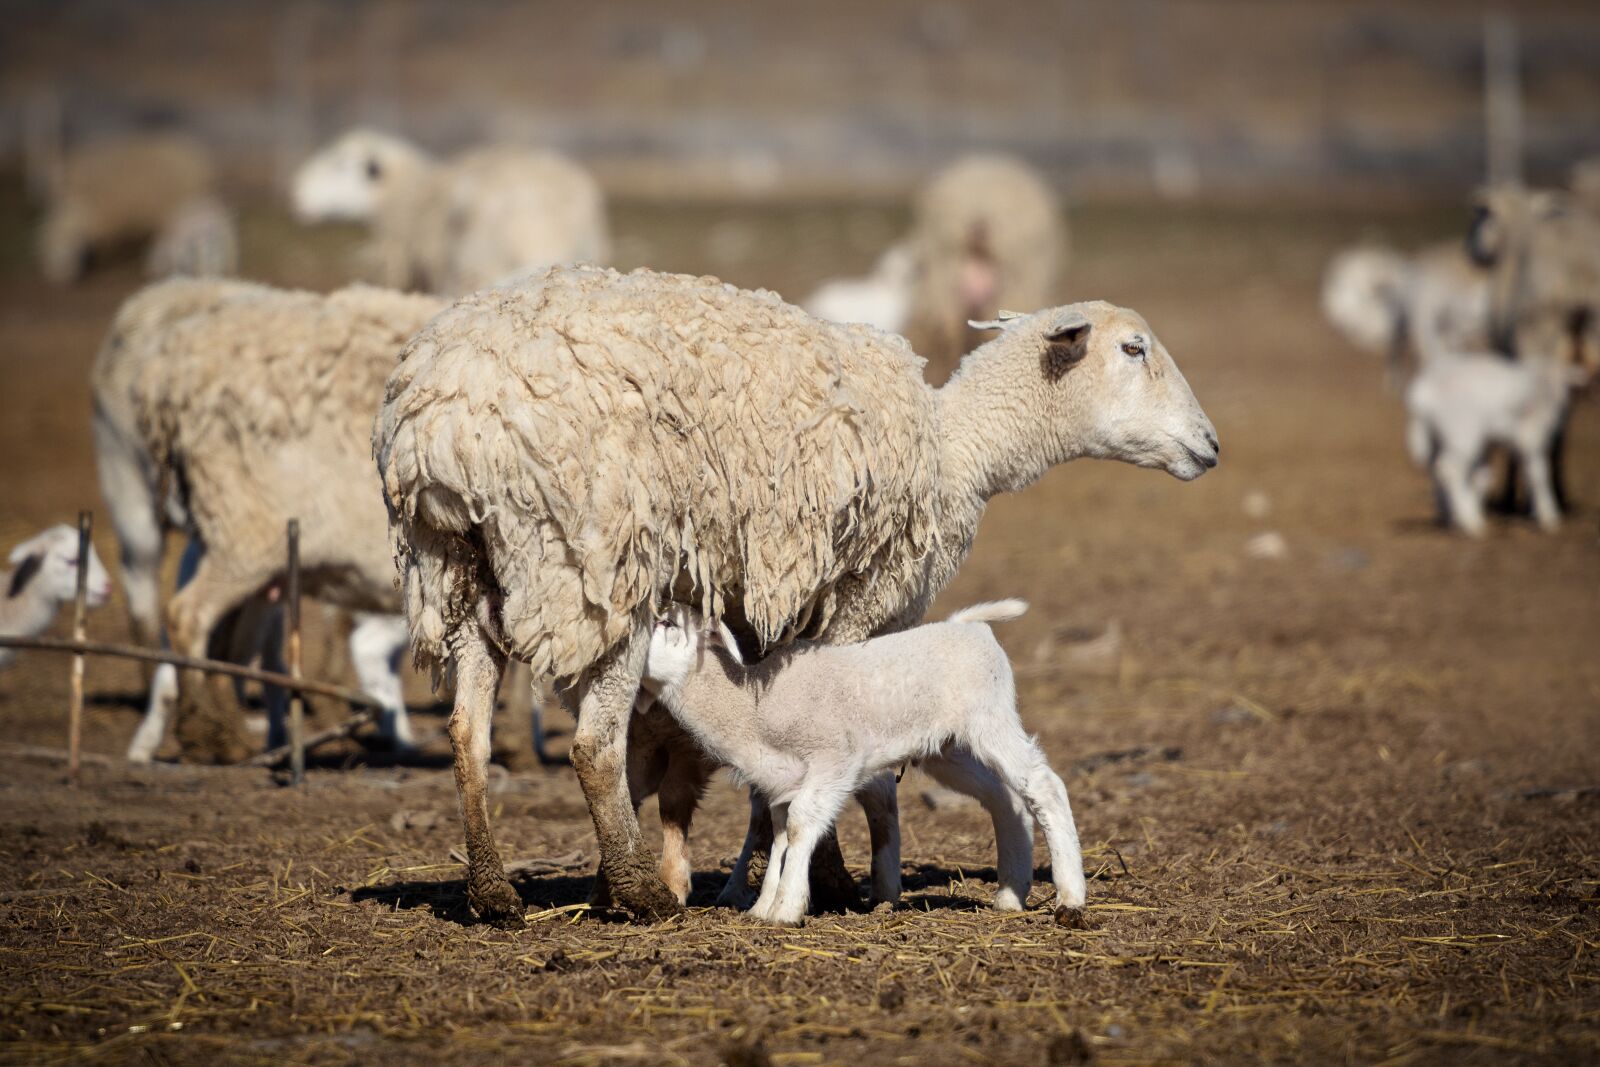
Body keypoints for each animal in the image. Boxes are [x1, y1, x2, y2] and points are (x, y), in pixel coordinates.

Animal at [104, 280, 444, 762]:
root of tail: (165, 377)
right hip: (240, 530)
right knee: (186, 615)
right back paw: (211, 734)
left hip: (231, 540)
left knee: (225, 642)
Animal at [639, 599, 1084, 926]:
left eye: (667, 623)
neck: (753, 707)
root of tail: (969, 626)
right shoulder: (780, 779)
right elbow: (780, 833)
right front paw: (764, 906)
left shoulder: (835, 759)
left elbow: (800, 825)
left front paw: (788, 908)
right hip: (946, 747)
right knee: (1005, 799)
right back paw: (1010, 894)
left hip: (989, 718)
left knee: (1043, 784)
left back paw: (1070, 895)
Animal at [1405, 351, 1581, 536]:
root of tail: (1424, 391)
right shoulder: (1531, 437)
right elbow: (1538, 474)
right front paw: (1548, 516)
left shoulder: (1488, 445)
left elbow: (1483, 477)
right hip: (1463, 436)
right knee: (1449, 470)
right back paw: (1470, 522)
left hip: (1438, 440)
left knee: (1434, 471)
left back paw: (1449, 516)